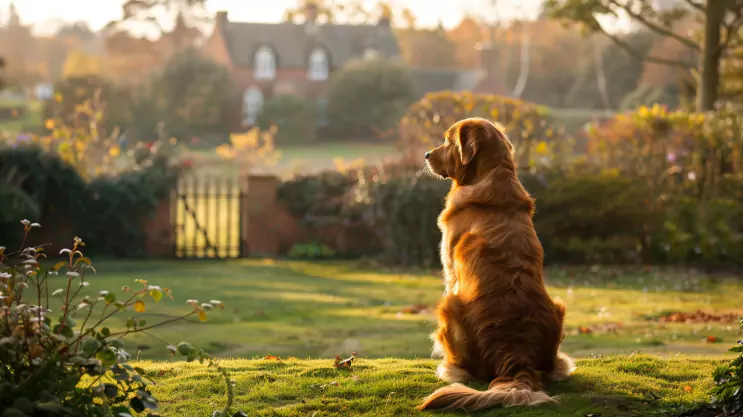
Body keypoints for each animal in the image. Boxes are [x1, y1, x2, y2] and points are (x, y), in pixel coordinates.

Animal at [418, 116, 576, 410]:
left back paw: (448, 368)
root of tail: (517, 359)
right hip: (559, 309)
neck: (491, 174)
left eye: (447, 140)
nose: (426, 154)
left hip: (448, 305)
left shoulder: (450, 270)